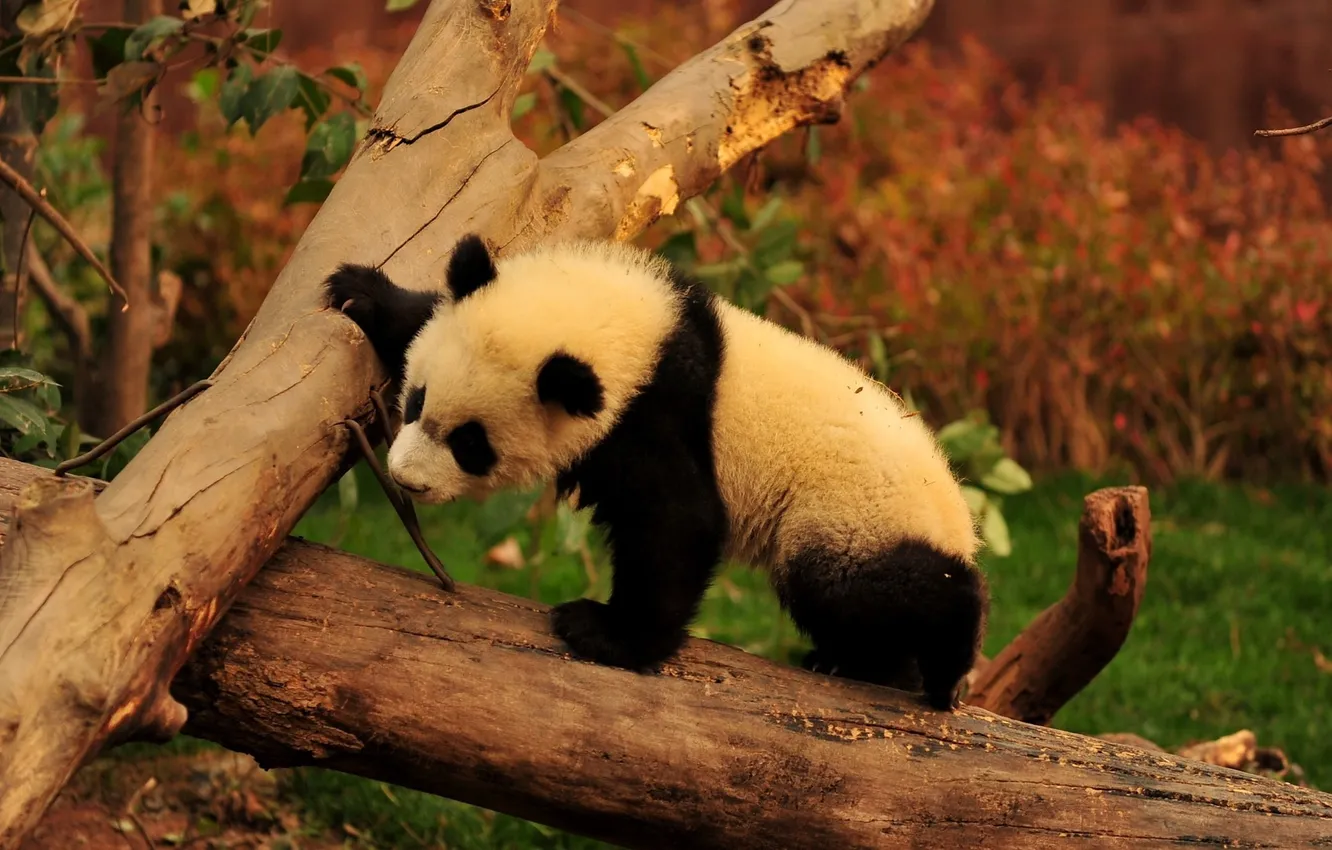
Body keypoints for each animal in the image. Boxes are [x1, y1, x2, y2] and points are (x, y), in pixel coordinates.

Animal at [323, 233, 988, 710]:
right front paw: (360, 292)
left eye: (471, 444)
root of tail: (959, 520)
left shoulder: (654, 413)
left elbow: (677, 523)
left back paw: (942, 662)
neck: (637, 331)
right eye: (416, 401)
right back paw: (863, 664)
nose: (406, 478)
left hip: (850, 514)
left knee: (856, 586)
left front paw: (605, 632)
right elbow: (421, 314)